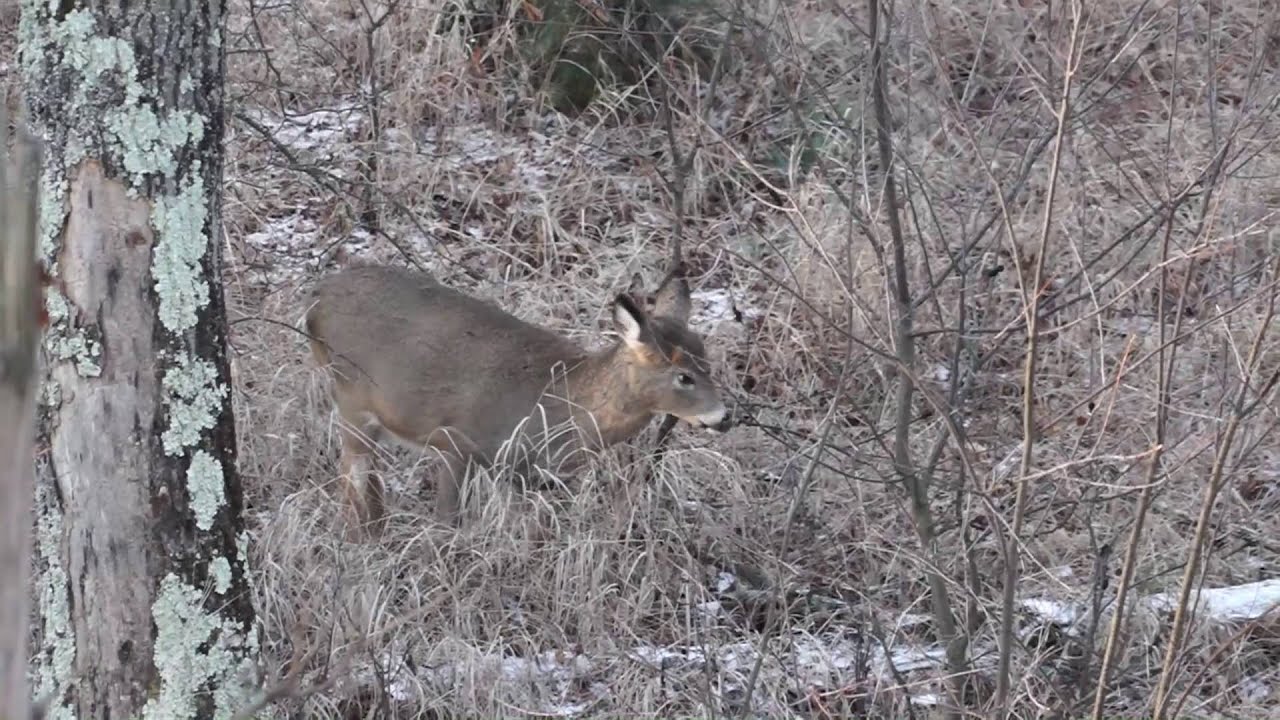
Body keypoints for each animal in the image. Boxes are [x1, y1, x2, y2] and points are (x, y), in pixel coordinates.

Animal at [303, 263, 732, 532]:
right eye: (684, 376)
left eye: (709, 363)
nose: (724, 417)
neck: (560, 407)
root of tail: (317, 298)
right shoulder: (458, 440)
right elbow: (447, 520)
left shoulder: (530, 476)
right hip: (351, 395)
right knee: (352, 473)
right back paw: (364, 537)